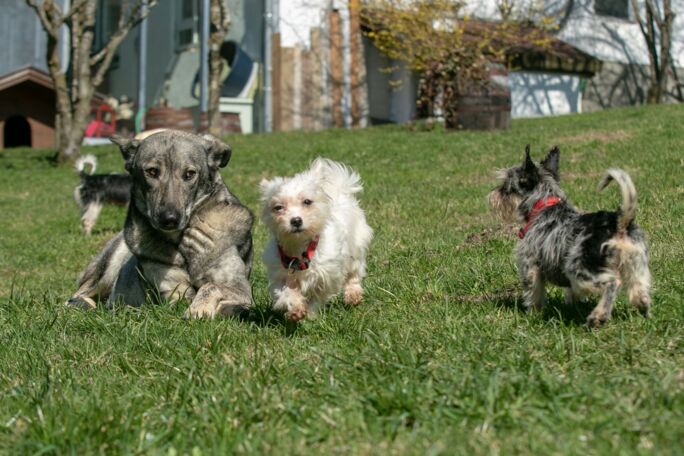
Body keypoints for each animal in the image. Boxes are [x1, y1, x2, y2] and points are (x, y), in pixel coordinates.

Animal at [67, 129, 254, 319]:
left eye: (189, 174)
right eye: (152, 172)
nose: (169, 218)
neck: (180, 243)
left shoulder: (239, 287)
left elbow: (212, 286)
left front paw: (201, 308)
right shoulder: (174, 293)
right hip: (109, 266)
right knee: (80, 293)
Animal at [260, 158, 373, 321]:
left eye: (307, 201)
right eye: (278, 207)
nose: (296, 220)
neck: (300, 248)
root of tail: (340, 191)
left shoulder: (327, 275)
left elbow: (317, 296)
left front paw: (310, 315)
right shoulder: (280, 274)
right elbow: (286, 292)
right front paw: (295, 309)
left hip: (356, 247)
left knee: (354, 273)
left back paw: (352, 294)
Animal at [488, 145, 651, 327]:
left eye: (505, 188)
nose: (493, 194)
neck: (545, 205)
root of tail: (618, 224)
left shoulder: (530, 266)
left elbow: (534, 294)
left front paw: (533, 315)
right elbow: (570, 294)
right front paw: (572, 306)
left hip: (581, 270)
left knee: (612, 283)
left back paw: (598, 316)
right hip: (636, 266)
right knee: (638, 291)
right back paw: (642, 306)